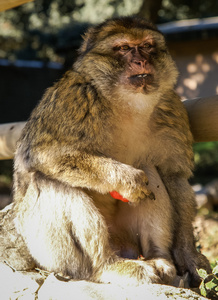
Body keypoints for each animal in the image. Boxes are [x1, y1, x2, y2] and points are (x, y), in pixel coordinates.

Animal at [12, 15, 210, 286]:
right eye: (124, 48)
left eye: (146, 46)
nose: (141, 61)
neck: (127, 104)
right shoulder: (74, 98)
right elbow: (40, 154)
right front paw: (127, 179)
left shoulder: (171, 107)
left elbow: (174, 177)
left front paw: (188, 254)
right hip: (51, 253)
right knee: (49, 180)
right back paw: (107, 266)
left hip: (127, 239)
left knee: (149, 168)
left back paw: (159, 258)